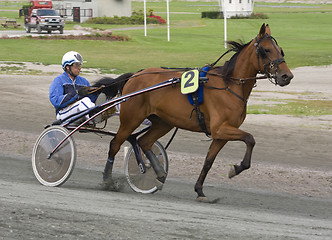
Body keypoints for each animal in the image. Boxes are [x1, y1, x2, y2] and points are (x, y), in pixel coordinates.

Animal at [98, 23, 294, 202]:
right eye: (267, 50)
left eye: (281, 50)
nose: (287, 76)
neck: (229, 84)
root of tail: (134, 75)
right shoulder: (220, 128)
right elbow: (250, 138)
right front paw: (236, 169)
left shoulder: (220, 135)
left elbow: (208, 161)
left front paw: (200, 190)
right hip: (131, 119)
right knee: (115, 144)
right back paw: (107, 181)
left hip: (164, 122)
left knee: (144, 142)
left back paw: (160, 174)